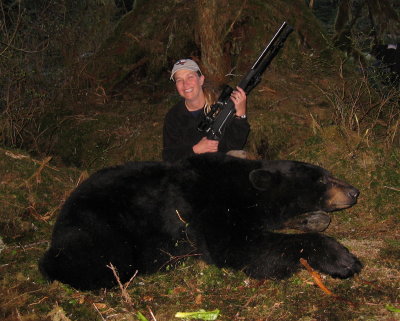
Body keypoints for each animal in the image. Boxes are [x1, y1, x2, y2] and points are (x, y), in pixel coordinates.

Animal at [38, 152, 362, 290]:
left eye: (329, 173)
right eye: (321, 179)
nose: (354, 191)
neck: (247, 189)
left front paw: (313, 219)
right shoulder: (210, 207)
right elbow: (237, 247)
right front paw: (342, 258)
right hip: (98, 226)